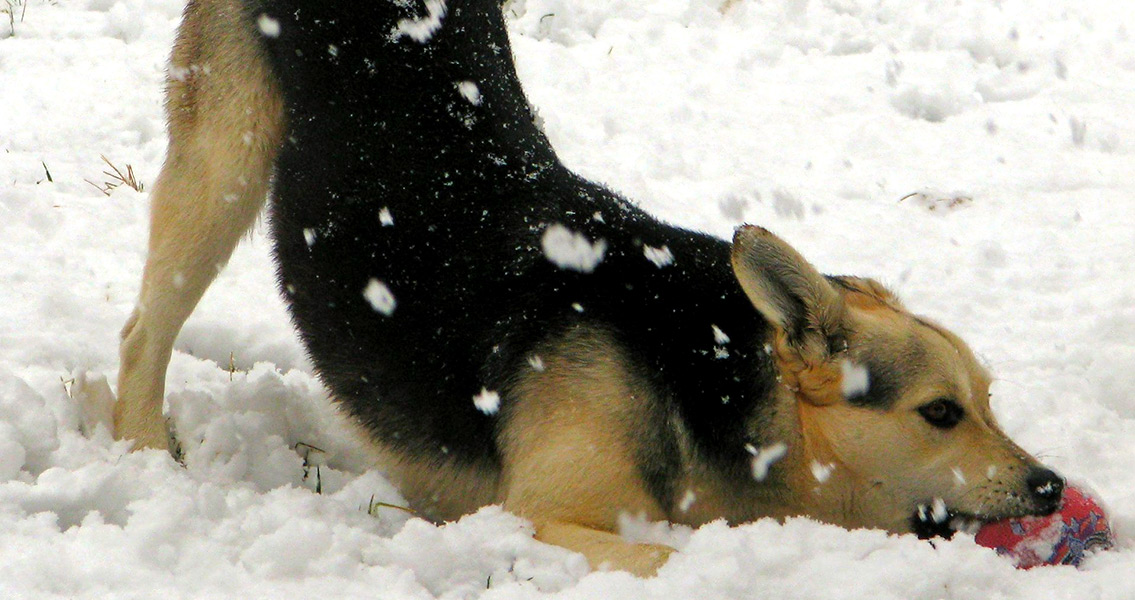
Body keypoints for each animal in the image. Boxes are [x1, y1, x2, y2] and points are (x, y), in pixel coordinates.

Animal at [119, 0, 1066, 576]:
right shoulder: (540, 517)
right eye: (939, 413)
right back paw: (140, 451)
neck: (708, 381)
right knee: (144, 332)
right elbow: (676, 557)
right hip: (226, 160)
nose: (1052, 488)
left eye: (989, 401)